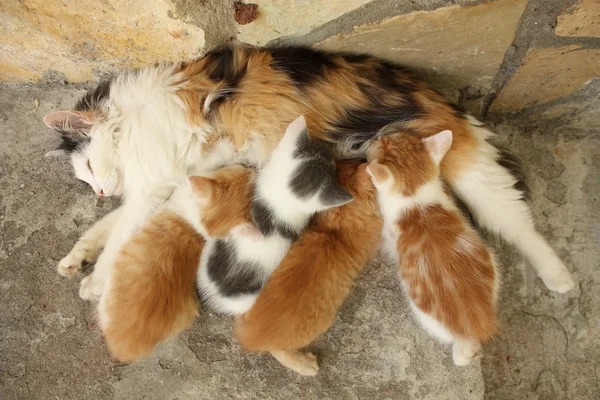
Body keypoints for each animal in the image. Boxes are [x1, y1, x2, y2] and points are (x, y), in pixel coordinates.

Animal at [232, 159, 382, 376]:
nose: (362, 159)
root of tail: (248, 336)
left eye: (344, 162)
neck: (337, 228)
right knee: (278, 350)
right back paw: (305, 364)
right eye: (353, 162)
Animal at [368, 130, 500, 366]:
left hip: (423, 313)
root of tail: (478, 320)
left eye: (381, 142)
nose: (379, 133)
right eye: (393, 134)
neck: (413, 195)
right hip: (493, 267)